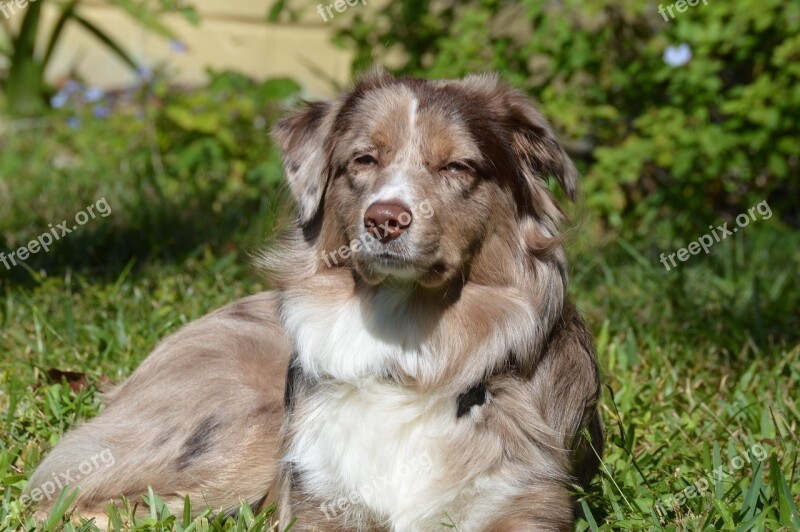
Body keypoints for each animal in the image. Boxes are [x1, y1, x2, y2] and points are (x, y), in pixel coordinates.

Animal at [32, 70, 608, 532]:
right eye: (364, 159)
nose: (384, 219)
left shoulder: (528, 502)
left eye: (457, 167)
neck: (405, 346)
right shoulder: (318, 501)